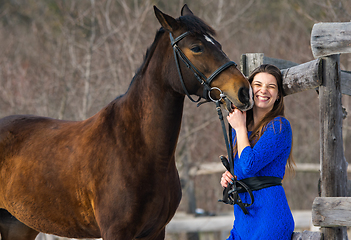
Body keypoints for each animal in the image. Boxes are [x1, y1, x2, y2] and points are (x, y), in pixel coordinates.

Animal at [0, 4, 253, 240]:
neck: (139, 147)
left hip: (18, 225)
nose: (244, 90)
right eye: (196, 48)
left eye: (218, 45)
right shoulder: (116, 231)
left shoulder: (155, 231)